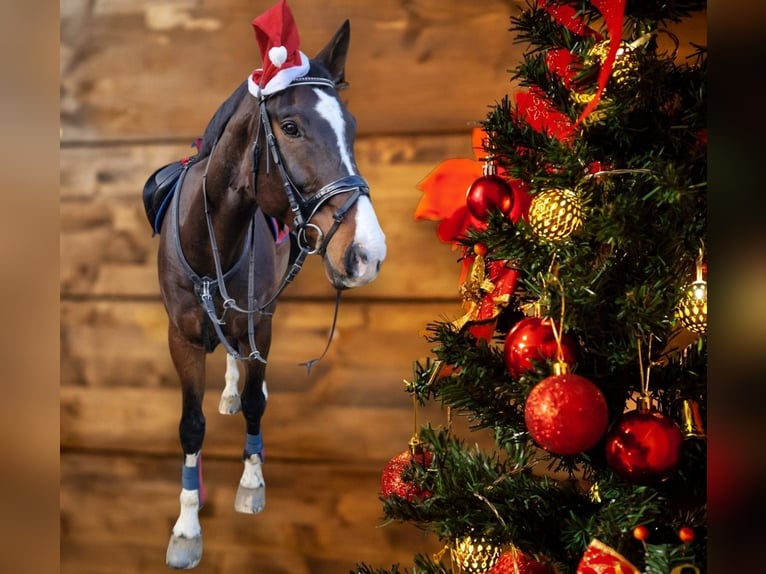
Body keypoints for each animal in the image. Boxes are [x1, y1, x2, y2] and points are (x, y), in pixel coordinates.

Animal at [149, 18, 388, 572]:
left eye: (351, 127)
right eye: (292, 127)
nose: (368, 253)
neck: (211, 238)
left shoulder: (262, 318)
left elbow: (257, 402)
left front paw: (252, 483)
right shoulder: (181, 337)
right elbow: (190, 427)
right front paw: (186, 529)